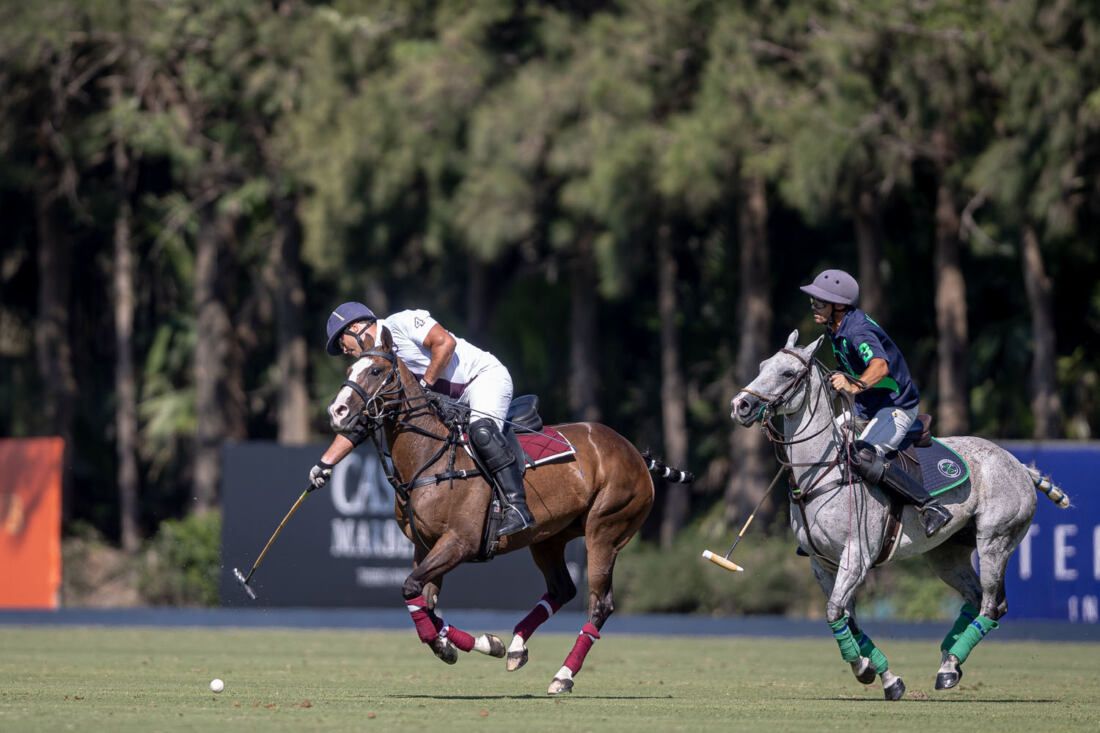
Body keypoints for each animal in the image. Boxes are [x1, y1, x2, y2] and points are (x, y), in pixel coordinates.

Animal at [323, 323, 686, 691]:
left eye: (375, 371)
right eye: (350, 370)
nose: (337, 412)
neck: (429, 457)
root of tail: (634, 452)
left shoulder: (460, 542)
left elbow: (411, 588)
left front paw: (459, 644)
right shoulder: (425, 546)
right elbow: (425, 601)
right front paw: (473, 644)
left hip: (606, 529)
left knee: (601, 604)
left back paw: (563, 676)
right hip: (550, 537)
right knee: (562, 589)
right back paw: (515, 647)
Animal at [726, 330, 1069, 695]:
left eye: (788, 373)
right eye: (762, 366)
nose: (740, 406)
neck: (821, 469)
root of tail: (1018, 465)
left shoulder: (857, 557)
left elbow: (834, 611)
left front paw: (865, 668)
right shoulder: (822, 564)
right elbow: (846, 617)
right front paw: (885, 676)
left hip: (995, 540)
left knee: (992, 604)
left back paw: (950, 667)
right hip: (947, 554)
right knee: (975, 597)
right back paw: (948, 662)